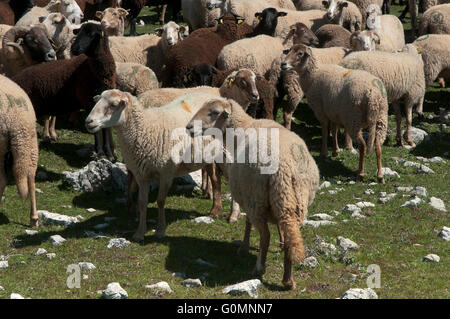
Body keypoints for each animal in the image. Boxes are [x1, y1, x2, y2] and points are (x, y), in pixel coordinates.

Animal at [12, 23, 118, 162]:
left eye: (91, 34)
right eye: (79, 32)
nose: (74, 49)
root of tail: (16, 78)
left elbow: (106, 128)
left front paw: (109, 154)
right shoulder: (89, 101)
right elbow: (97, 131)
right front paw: (100, 154)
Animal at [185, 95, 320, 290]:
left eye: (214, 112)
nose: (188, 127)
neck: (241, 129)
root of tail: (284, 167)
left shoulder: (246, 196)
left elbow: (248, 222)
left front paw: (244, 247)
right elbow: (282, 228)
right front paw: (280, 243)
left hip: (257, 198)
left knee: (265, 236)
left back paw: (259, 269)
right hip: (296, 202)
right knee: (291, 236)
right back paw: (288, 280)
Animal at [284, 44, 388, 184]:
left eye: (300, 53)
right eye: (290, 50)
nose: (283, 64)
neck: (313, 76)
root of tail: (373, 95)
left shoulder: (320, 110)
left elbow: (324, 129)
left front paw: (324, 152)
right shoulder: (334, 112)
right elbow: (334, 130)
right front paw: (335, 151)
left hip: (354, 119)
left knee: (362, 145)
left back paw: (360, 173)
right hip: (381, 118)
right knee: (378, 146)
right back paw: (380, 175)